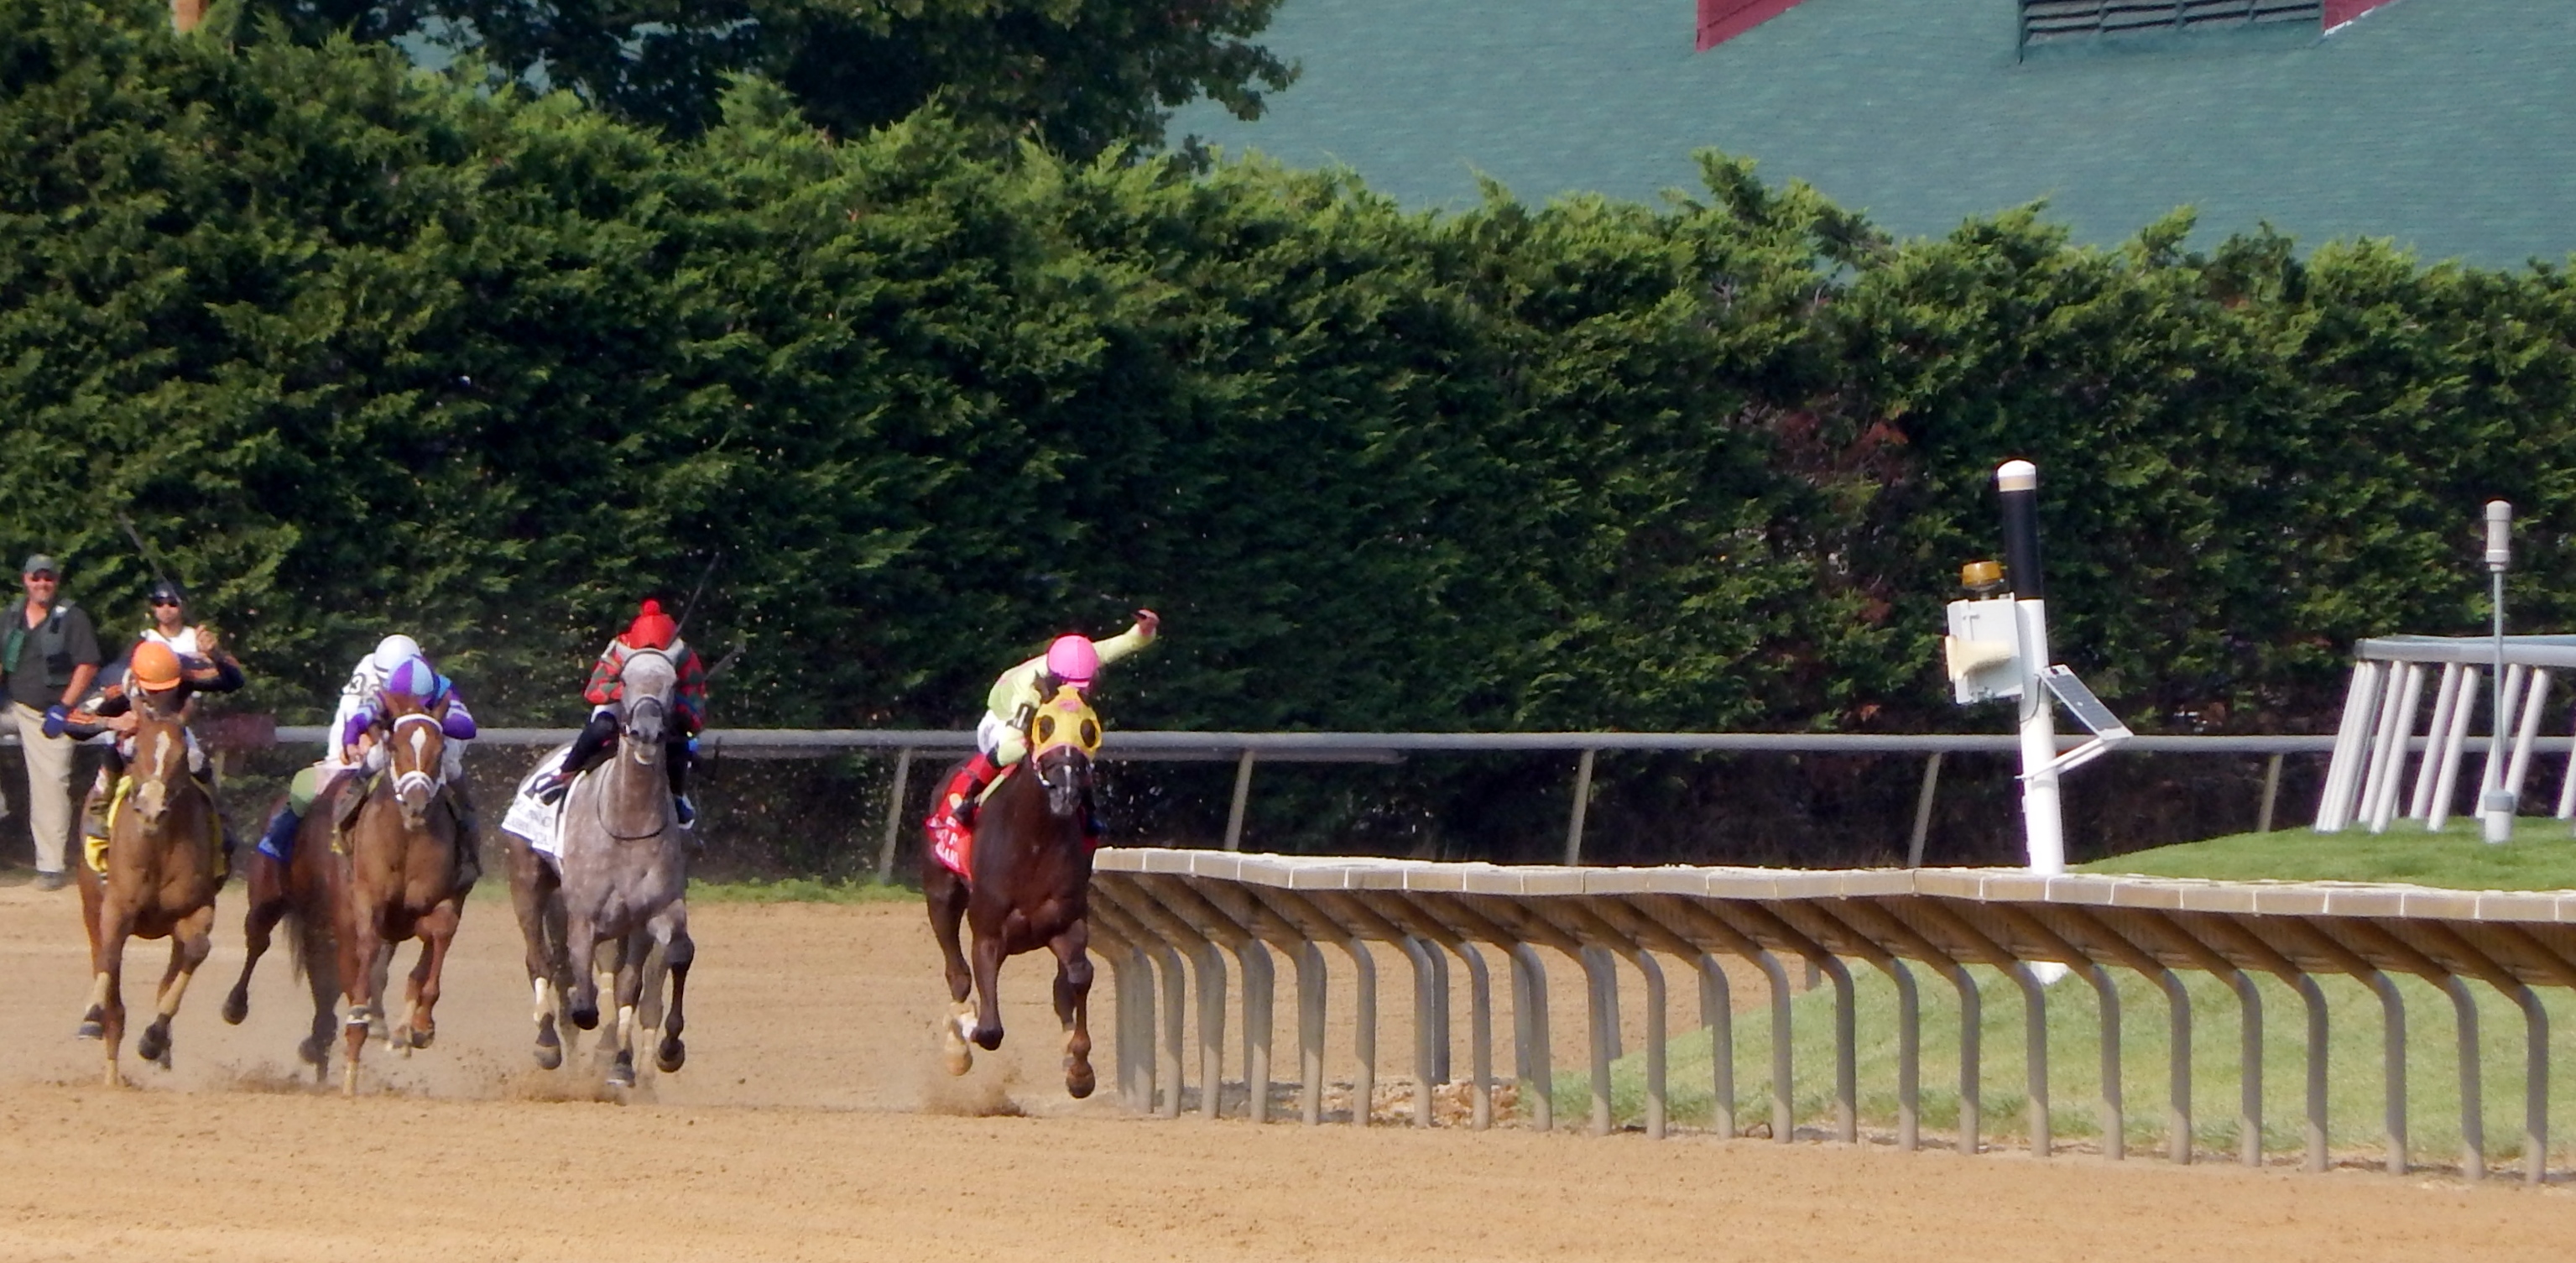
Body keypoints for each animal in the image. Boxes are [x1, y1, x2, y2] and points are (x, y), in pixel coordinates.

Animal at [75, 686, 225, 1083]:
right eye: (137, 749)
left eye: (182, 753)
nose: (152, 810)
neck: (157, 847)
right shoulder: (116, 907)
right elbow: (110, 955)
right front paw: (92, 1016)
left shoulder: (195, 909)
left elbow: (196, 951)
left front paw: (155, 1037)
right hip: (90, 905)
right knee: (106, 965)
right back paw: (110, 1068)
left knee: (173, 968)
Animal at [502, 652, 695, 1088]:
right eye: (623, 680)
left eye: (673, 684)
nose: (646, 733)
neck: (628, 825)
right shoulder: (584, 916)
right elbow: (583, 994)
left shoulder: (650, 913)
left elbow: (644, 977)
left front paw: (646, 1056)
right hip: (527, 882)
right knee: (539, 960)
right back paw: (548, 1043)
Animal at [927, 680, 1097, 1093]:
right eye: (1044, 725)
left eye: (1089, 730)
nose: (1066, 790)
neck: (1033, 840)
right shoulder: (989, 934)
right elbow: (989, 1030)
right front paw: (966, 1029)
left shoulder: (1067, 924)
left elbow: (1078, 976)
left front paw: (1079, 1067)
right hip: (940, 894)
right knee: (957, 974)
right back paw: (957, 1046)